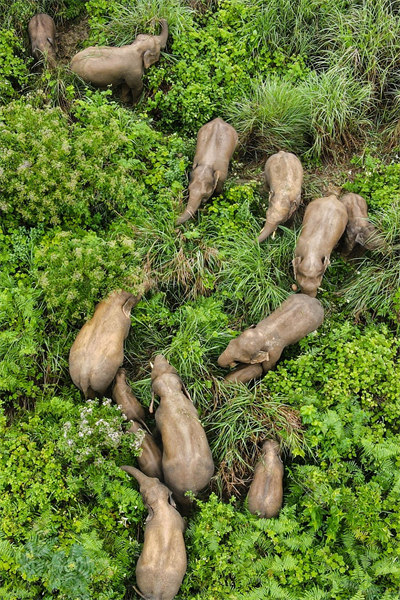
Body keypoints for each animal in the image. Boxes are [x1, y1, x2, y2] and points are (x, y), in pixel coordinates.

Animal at [151, 356, 214, 506]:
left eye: (153, 373)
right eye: (170, 365)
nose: (158, 356)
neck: (171, 392)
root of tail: (191, 487)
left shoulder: (158, 416)